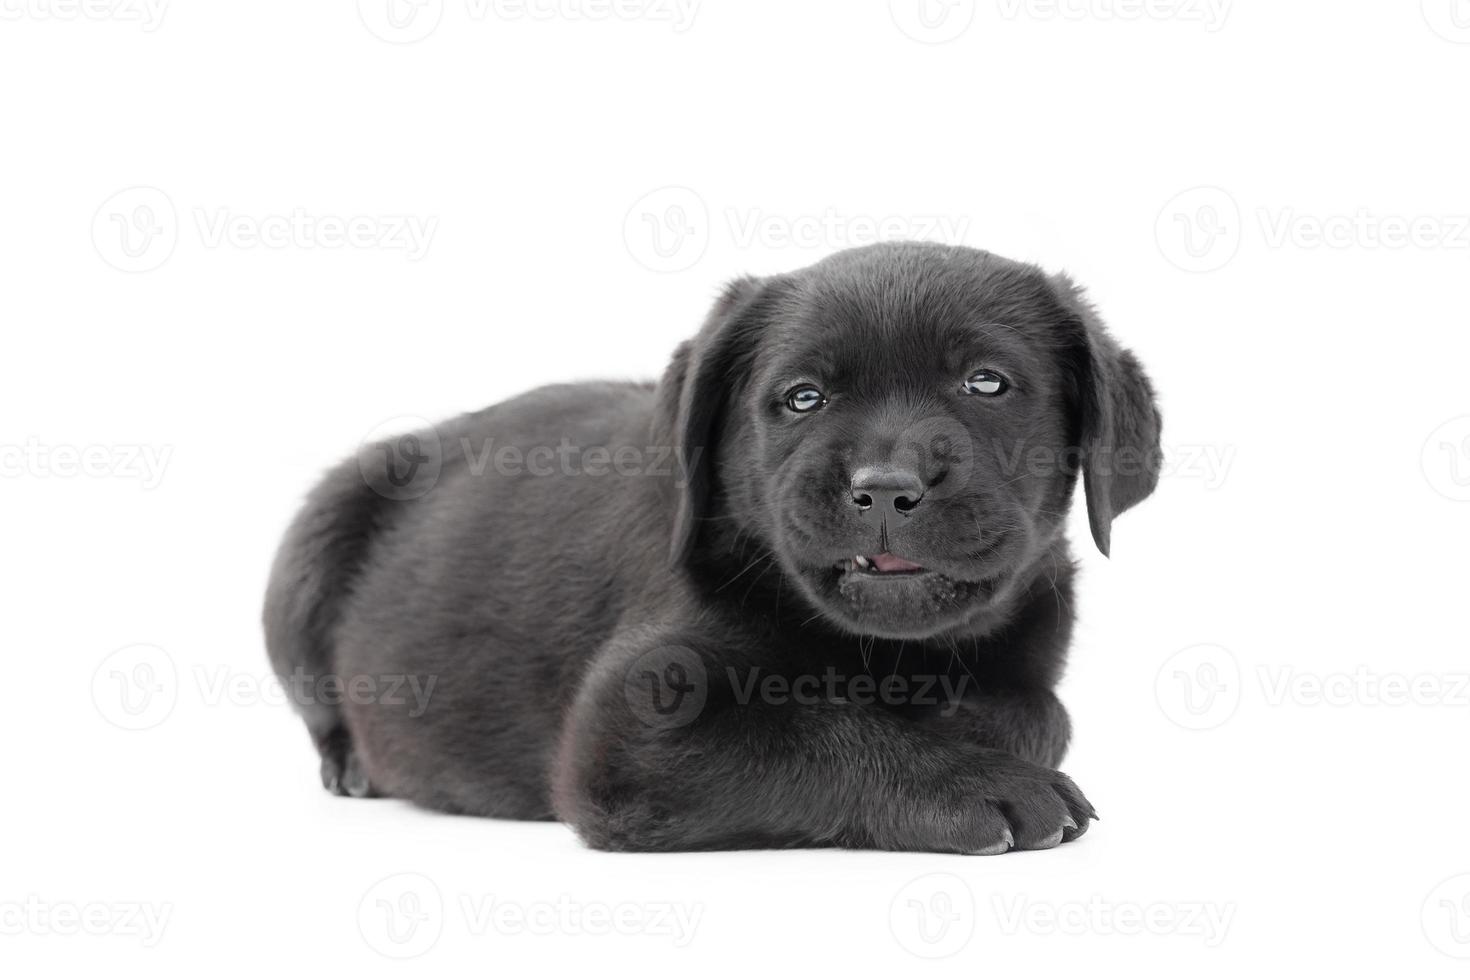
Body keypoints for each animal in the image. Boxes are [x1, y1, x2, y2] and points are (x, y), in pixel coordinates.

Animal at [264, 240, 1158, 852]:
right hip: (310, 552)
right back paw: (351, 764)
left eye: (986, 383)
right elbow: (816, 736)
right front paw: (973, 778)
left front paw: (963, 723)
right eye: (803, 398)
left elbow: (1038, 710)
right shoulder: (635, 721)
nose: (885, 488)